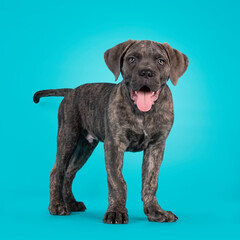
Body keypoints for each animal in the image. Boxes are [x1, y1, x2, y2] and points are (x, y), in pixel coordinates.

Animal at [32, 39, 188, 223]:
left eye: (161, 61)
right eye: (132, 59)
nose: (146, 73)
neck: (143, 113)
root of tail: (72, 91)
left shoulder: (156, 147)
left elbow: (151, 182)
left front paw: (155, 212)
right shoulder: (114, 145)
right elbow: (117, 181)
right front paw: (116, 212)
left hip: (85, 147)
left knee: (70, 172)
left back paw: (71, 203)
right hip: (68, 136)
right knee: (58, 170)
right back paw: (57, 205)